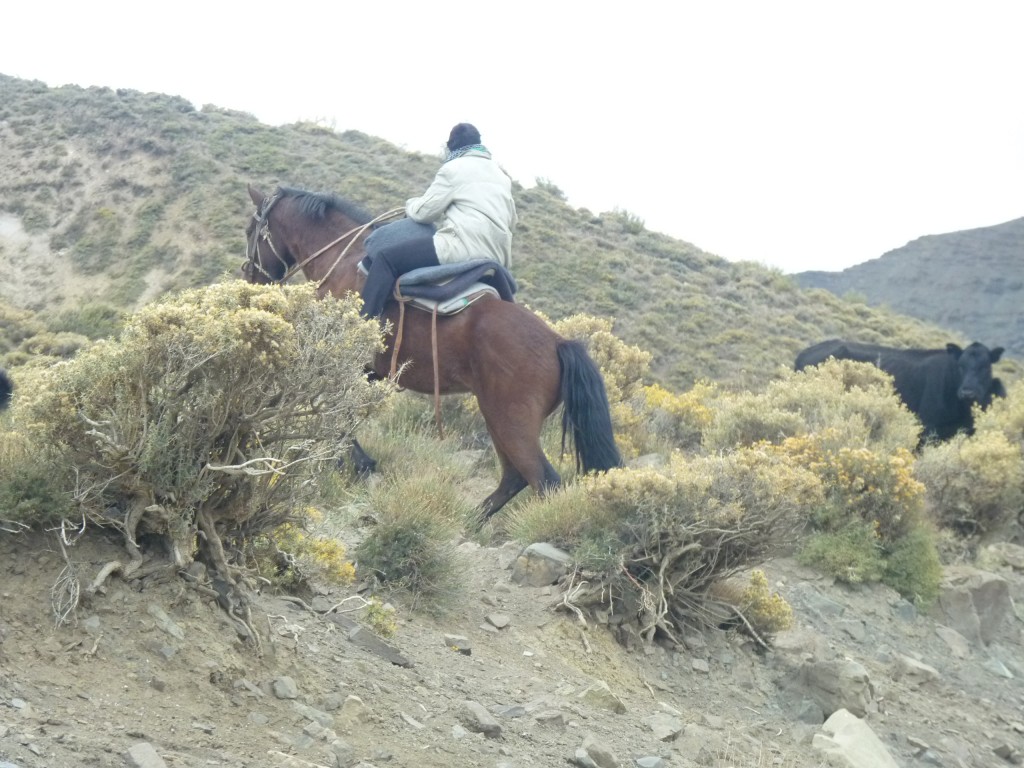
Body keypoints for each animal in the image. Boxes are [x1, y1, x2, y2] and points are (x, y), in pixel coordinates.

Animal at [243, 184, 618, 520]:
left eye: (251, 231)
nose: (250, 278)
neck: (343, 260)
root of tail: (559, 342)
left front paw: (354, 464)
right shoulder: (367, 373)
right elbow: (343, 418)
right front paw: (358, 464)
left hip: (512, 424)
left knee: (543, 481)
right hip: (498, 419)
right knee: (513, 478)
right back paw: (465, 524)